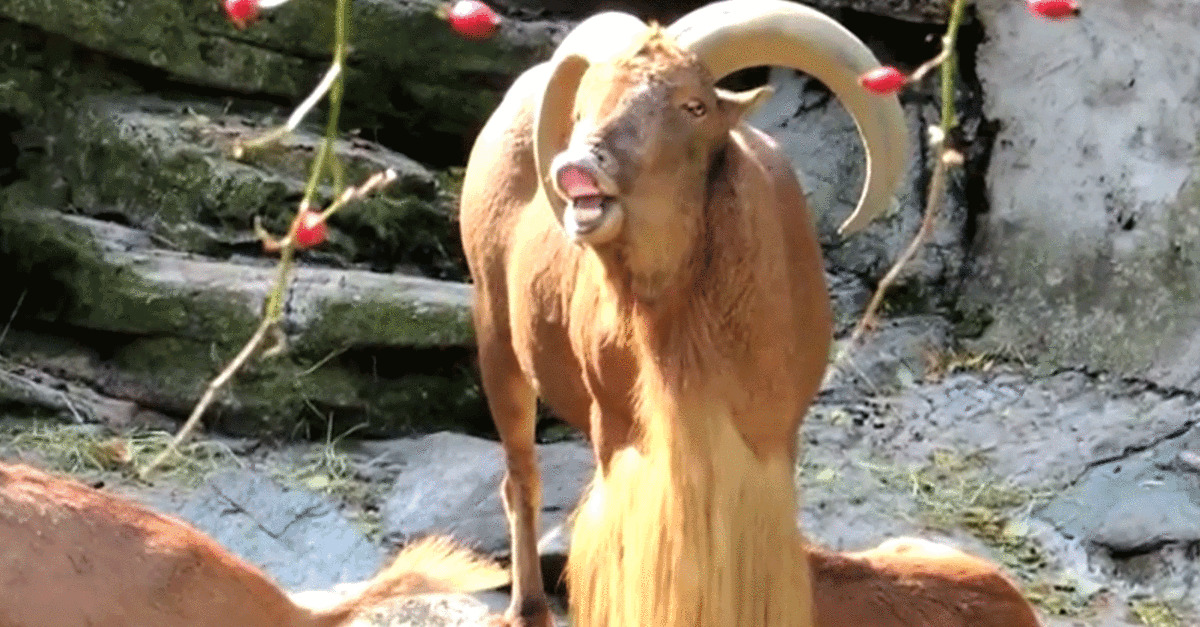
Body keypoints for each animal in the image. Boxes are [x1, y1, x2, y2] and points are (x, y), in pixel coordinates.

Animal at [458, 1, 909, 625]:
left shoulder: (770, 437)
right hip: (496, 337)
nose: (576, 168)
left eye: (693, 105)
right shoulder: (619, 430)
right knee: (520, 479)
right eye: (584, 104)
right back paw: (528, 608)